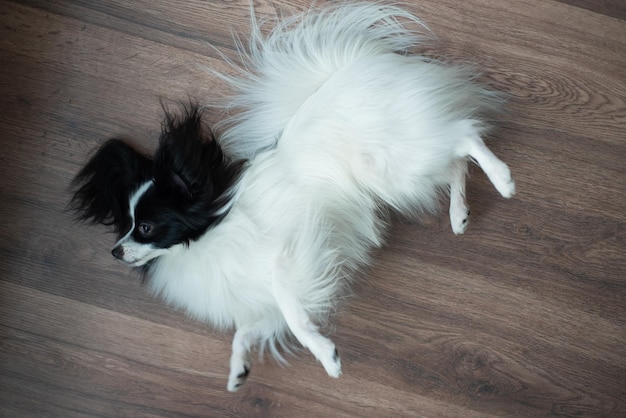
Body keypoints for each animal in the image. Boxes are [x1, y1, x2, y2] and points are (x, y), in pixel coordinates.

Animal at [70, 2, 516, 392]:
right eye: (125, 223)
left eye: (146, 227)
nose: (115, 251)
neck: (208, 235)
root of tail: (352, 69)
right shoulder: (268, 298)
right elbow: (246, 331)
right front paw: (238, 370)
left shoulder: (288, 261)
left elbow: (296, 319)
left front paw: (326, 356)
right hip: (403, 173)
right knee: (454, 161)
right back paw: (460, 214)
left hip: (392, 165)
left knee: (464, 135)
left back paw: (503, 180)